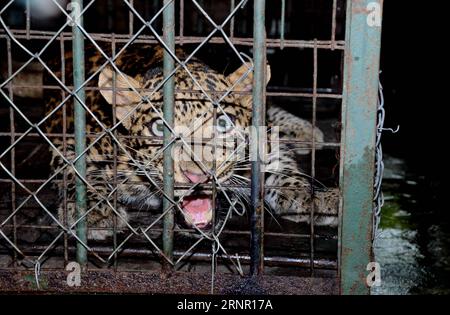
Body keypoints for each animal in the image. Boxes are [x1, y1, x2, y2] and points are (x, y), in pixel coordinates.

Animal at [44, 44, 338, 241]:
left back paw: (304, 131)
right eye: (159, 128)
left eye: (223, 124)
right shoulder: (70, 141)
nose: (197, 176)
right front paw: (92, 211)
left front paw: (311, 195)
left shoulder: (262, 142)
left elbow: (281, 164)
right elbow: (76, 172)